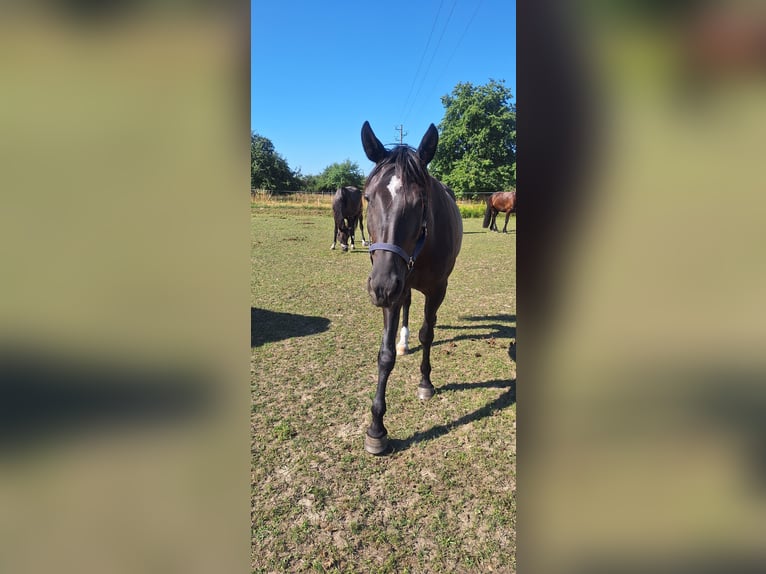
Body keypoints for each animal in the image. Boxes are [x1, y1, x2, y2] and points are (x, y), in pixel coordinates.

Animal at [360, 121, 463, 455]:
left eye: (420, 203)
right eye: (368, 198)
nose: (380, 286)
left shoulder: (437, 289)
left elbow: (427, 334)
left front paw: (425, 384)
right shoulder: (393, 291)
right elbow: (385, 355)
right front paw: (376, 428)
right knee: (405, 303)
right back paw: (404, 341)